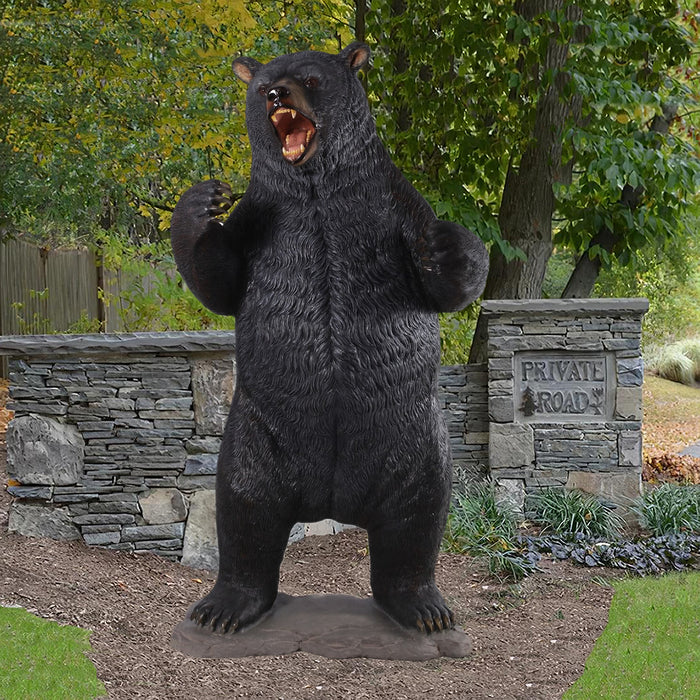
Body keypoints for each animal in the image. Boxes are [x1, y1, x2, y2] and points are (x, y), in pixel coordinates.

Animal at [170, 42, 489, 635]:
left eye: (312, 78)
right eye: (262, 84)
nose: (276, 94)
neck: (315, 190)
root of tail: (334, 503)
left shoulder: (391, 206)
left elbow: (448, 283)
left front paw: (445, 242)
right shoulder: (263, 219)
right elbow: (218, 279)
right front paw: (201, 201)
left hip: (413, 440)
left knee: (420, 513)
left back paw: (423, 607)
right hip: (256, 437)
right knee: (243, 509)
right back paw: (224, 606)